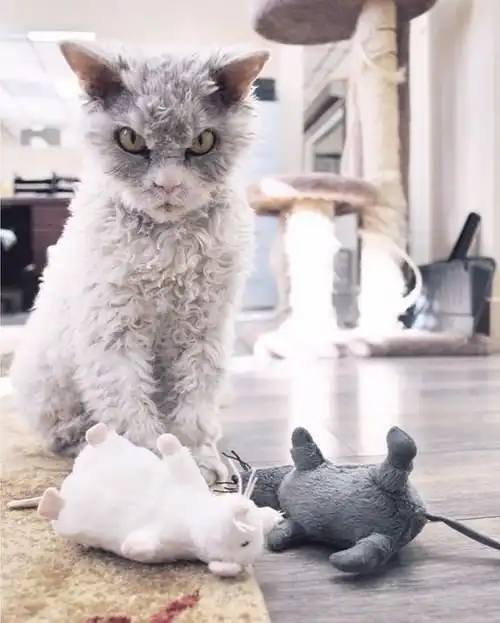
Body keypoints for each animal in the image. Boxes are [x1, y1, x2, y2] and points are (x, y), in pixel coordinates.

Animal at [9, 41, 269, 483]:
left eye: (203, 141)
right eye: (130, 139)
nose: (168, 184)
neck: (169, 247)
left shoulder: (206, 332)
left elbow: (194, 407)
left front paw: (199, 460)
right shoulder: (113, 331)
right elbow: (128, 406)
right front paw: (153, 464)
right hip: (47, 379)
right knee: (64, 432)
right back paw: (86, 445)